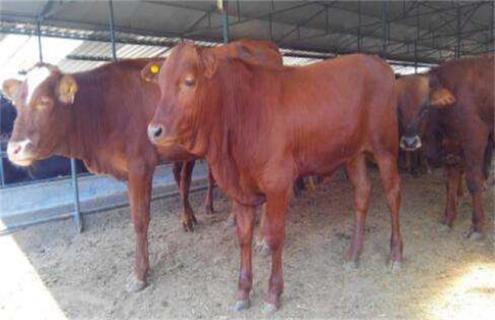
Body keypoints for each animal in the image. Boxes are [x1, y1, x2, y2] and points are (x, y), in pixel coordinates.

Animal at [1, 37, 282, 292]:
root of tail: (261, 44)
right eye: (15, 104)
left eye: (44, 102)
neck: (102, 108)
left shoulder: (140, 166)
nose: (14, 148)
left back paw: (262, 238)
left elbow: (139, 220)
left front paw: (139, 274)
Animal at [147, 42, 404, 310]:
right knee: (362, 193)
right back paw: (354, 254)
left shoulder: (278, 185)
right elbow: (244, 236)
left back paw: (395, 255)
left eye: (189, 81)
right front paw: (243, 291)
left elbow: (275, 236)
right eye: (160, 84)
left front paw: (273, 293)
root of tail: (377, 62)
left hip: (385, 147)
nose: (153, 130)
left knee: (392, 194)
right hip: (353, 153)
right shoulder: (240, 191)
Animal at [396, 55, 495, 239]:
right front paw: (448, 219)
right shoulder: (452, 150)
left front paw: (477, 226)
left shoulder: (475, 139)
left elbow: (473, 181)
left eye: (425, 107)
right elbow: (450, 183)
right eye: (398, 109)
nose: (409, 142)